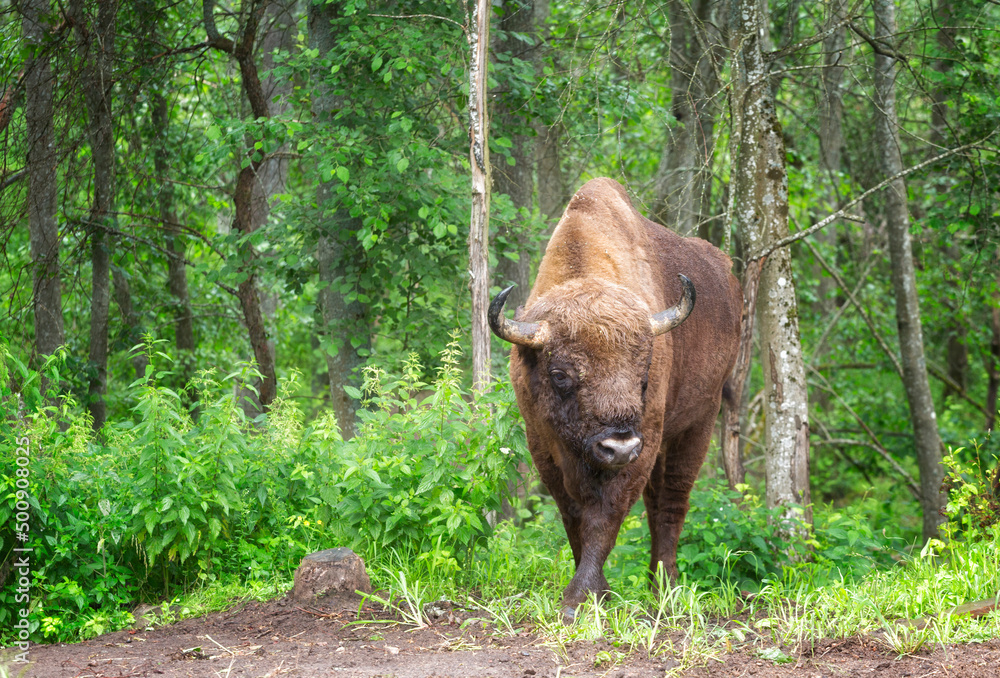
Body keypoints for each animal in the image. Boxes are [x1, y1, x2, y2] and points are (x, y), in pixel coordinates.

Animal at [489, 178, 742, 617]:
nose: (618, 446)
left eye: (643, 376)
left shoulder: (643, 444)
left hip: (698, 420)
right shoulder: (543, 444)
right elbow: (573, 514)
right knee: (659, 501)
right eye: (560, 375)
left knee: (672, 500)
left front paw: (581, 597)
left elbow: (606, 515)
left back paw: (665, 588)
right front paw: (594, 593)